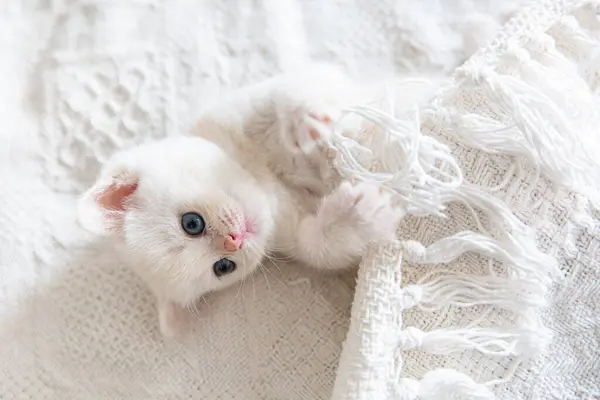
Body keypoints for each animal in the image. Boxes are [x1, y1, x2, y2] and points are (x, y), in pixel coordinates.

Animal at [78, 65, 432, 338]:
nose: (235, 240)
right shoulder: (291, 237)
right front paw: (359, 213)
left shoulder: (239, 108)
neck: (261, 178)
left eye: (191, 223)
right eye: (223, 267)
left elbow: (287, 91)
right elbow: (322, 246)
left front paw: (303, 118)